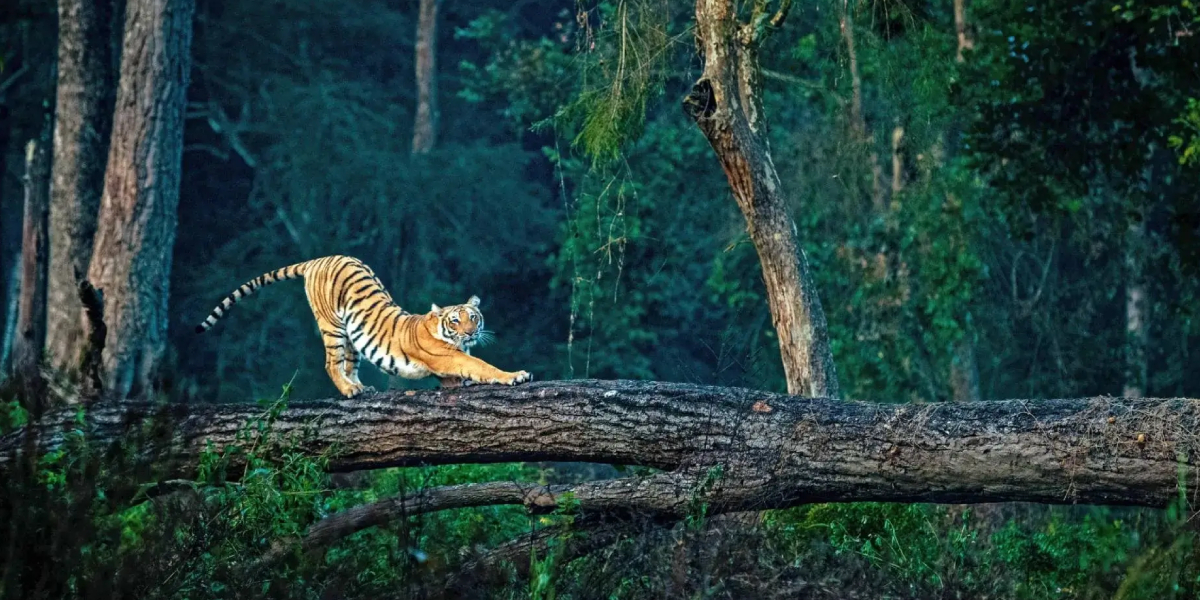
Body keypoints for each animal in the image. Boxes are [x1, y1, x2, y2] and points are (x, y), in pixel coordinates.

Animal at [195, 255, 532, 397]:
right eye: (455, 320)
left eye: (473, 317)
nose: (471, 333)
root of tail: (317, 259)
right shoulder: (448, 357)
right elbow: (482, 366)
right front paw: (516, 376)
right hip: (332, 326)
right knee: (331, 363)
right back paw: (349, 391)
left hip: (353, 337)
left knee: (349, 364)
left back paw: (360, 387)